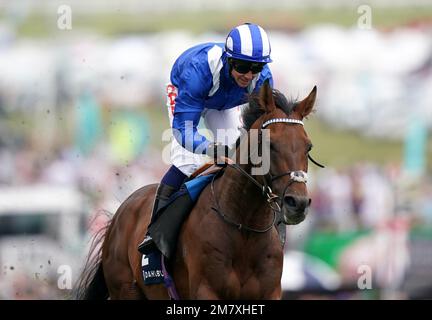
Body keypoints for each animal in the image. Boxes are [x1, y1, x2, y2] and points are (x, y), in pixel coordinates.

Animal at [75, 82, 318, 300]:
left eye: (308, 146)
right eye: (270, 144)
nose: (298, 203)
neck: (245, 228)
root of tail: (120, 213)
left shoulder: (270, 292)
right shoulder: (206, 290)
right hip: (125, 289)